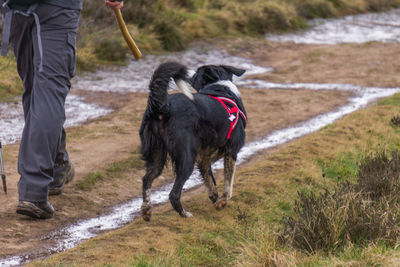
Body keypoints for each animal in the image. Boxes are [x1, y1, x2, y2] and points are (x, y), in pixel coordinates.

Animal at [141, 61, 247, 221]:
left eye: (197, 73)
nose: (190, 72)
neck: (219, 85)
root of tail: (163, 107)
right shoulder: (231, 152)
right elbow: (228, 185)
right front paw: (222, 202)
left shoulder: (203, 159)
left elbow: (210, 182)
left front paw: (216, 200)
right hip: (186, 158)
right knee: (173, 194)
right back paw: (185, 214)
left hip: (157, 155)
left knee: (147, 179)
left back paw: (146, 210)